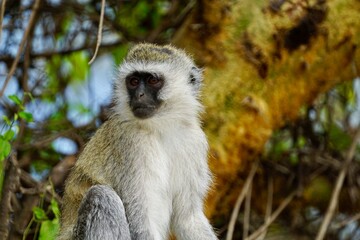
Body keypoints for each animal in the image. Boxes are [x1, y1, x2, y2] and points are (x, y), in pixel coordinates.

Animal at [57, 43, 218, 240]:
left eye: (152, 80)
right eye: (133, 82)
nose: (139, 95)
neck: (161, 128)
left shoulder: (194, 141)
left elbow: (187, 219)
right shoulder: (130, 142)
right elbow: (140, 220)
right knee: (102, 196)